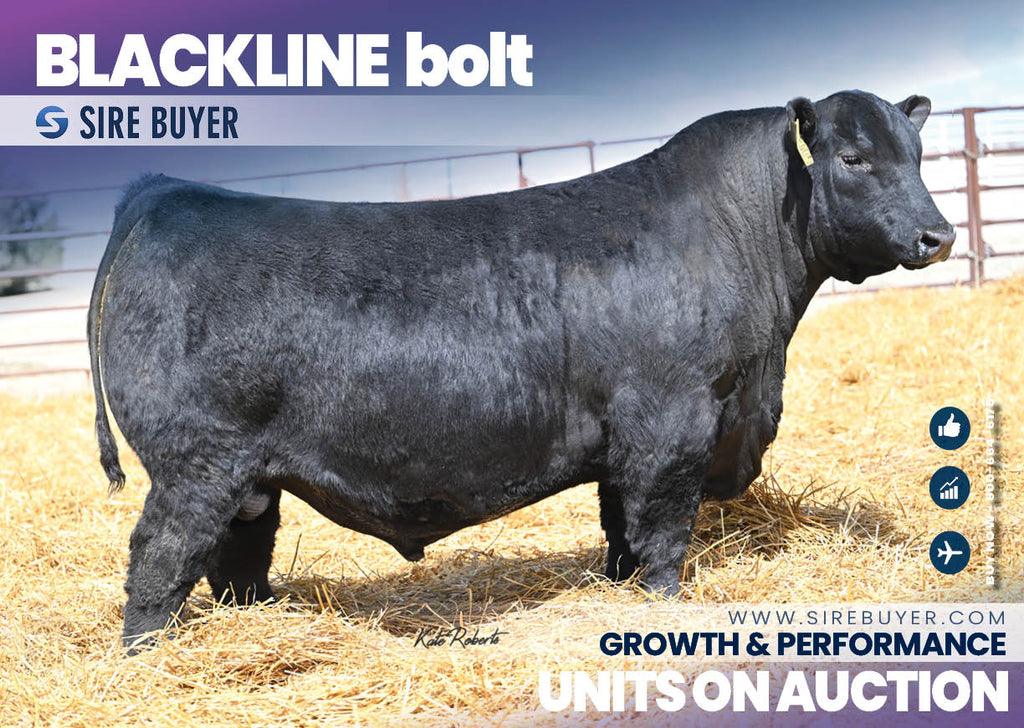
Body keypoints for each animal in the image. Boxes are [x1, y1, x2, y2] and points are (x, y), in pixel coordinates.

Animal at [88, 90, 954, 649]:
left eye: (917, 156)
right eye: (855, 157)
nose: (938, 236)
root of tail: (162, 194)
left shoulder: (625, 441)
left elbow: (619, 531)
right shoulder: (672, 423)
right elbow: (662, 534)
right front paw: (664, 609)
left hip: (247, 478)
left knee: (238, 560)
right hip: (196, 465)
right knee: (159, 561)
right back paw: (147, 656)